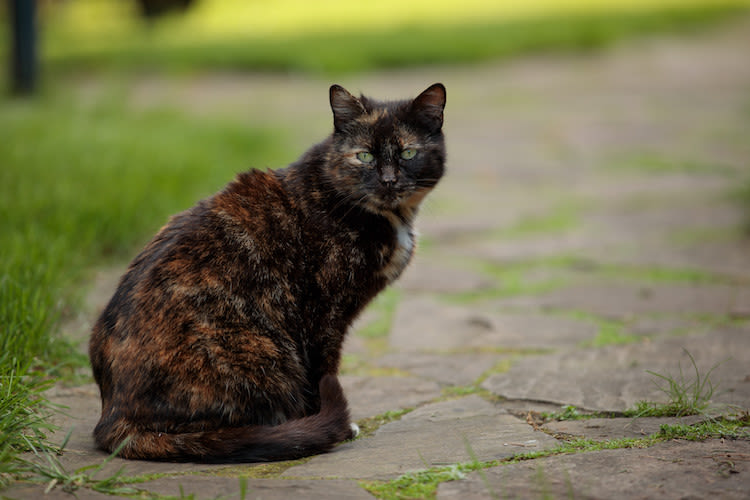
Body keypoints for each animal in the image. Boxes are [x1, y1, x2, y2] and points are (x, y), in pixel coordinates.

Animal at [91, 82, 450, 460]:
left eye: (408, 153)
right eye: (364, 156)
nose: (388, 180)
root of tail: (113, 417)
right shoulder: (322, 315)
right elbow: (321, 371)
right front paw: (333, 426)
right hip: (256, 349)